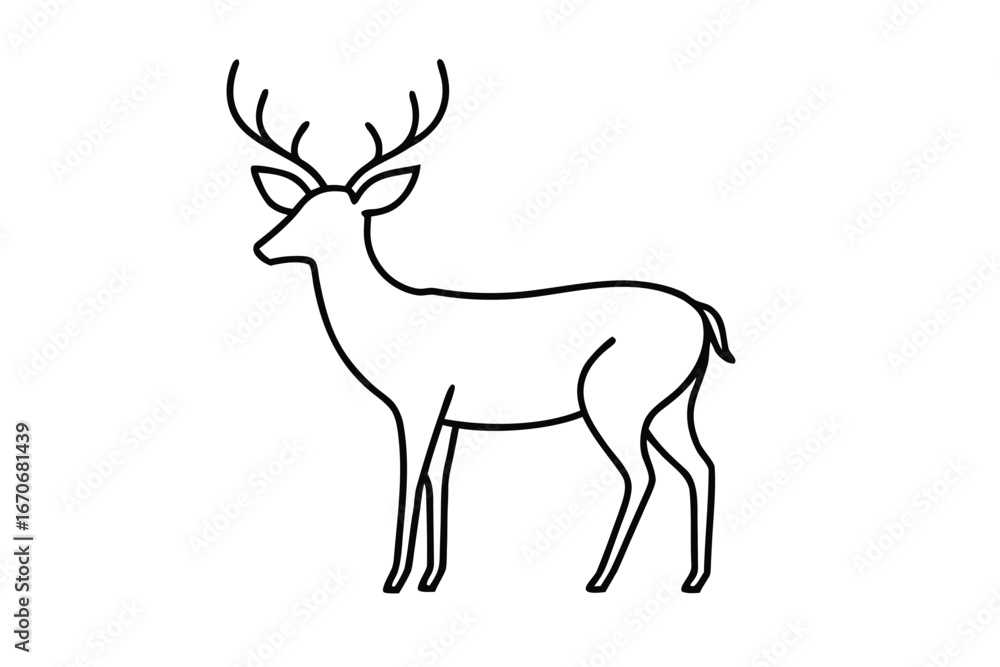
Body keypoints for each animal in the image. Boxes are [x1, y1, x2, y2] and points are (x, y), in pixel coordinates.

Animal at [227, 59, 735, 594]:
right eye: (296, 205)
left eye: (337, 215)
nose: (263, 246)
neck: (385, 322)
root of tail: (701, 312)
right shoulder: (451, 416)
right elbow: (438, 482)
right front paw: (430, 578)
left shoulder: (418, 403)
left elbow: (411, 480)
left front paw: (395, 578)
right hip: (673, 403)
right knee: (701, 465)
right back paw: (693, 578)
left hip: (617, 399)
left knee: (642, 475)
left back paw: (599, 577)